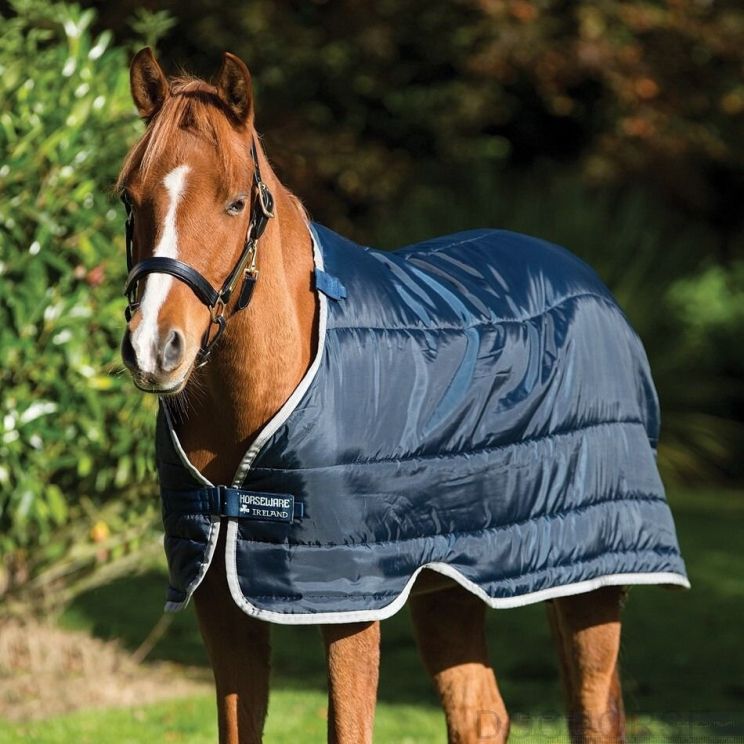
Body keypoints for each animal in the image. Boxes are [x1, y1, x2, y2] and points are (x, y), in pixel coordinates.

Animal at [118, 48, 688, 744]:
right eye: (130, 200)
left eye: (233, 203)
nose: (155, 347)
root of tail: (592, 286)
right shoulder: (218, 602)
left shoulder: (350, 605)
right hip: (453, 587)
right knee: (480, 715)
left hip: (592, 581)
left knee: (595, 713)